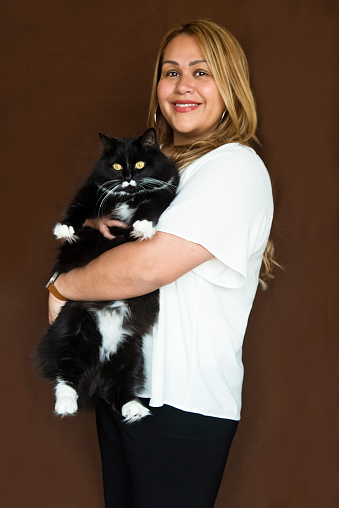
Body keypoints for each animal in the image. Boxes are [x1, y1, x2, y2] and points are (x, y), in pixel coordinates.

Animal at [36, 129, 181, 422]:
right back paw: (66, 406)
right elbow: (78, 207)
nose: (128, 177)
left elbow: (151, 206)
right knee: (65, 375)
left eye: (139, 164)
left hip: (131, 353)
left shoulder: (166, 191)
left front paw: (143, 227)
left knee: (119, 389)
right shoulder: (92, 189)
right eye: (115, 166)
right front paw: (65, 229)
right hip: (73, 333)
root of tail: (101, 357)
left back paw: (135, 410)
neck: (128, 197)